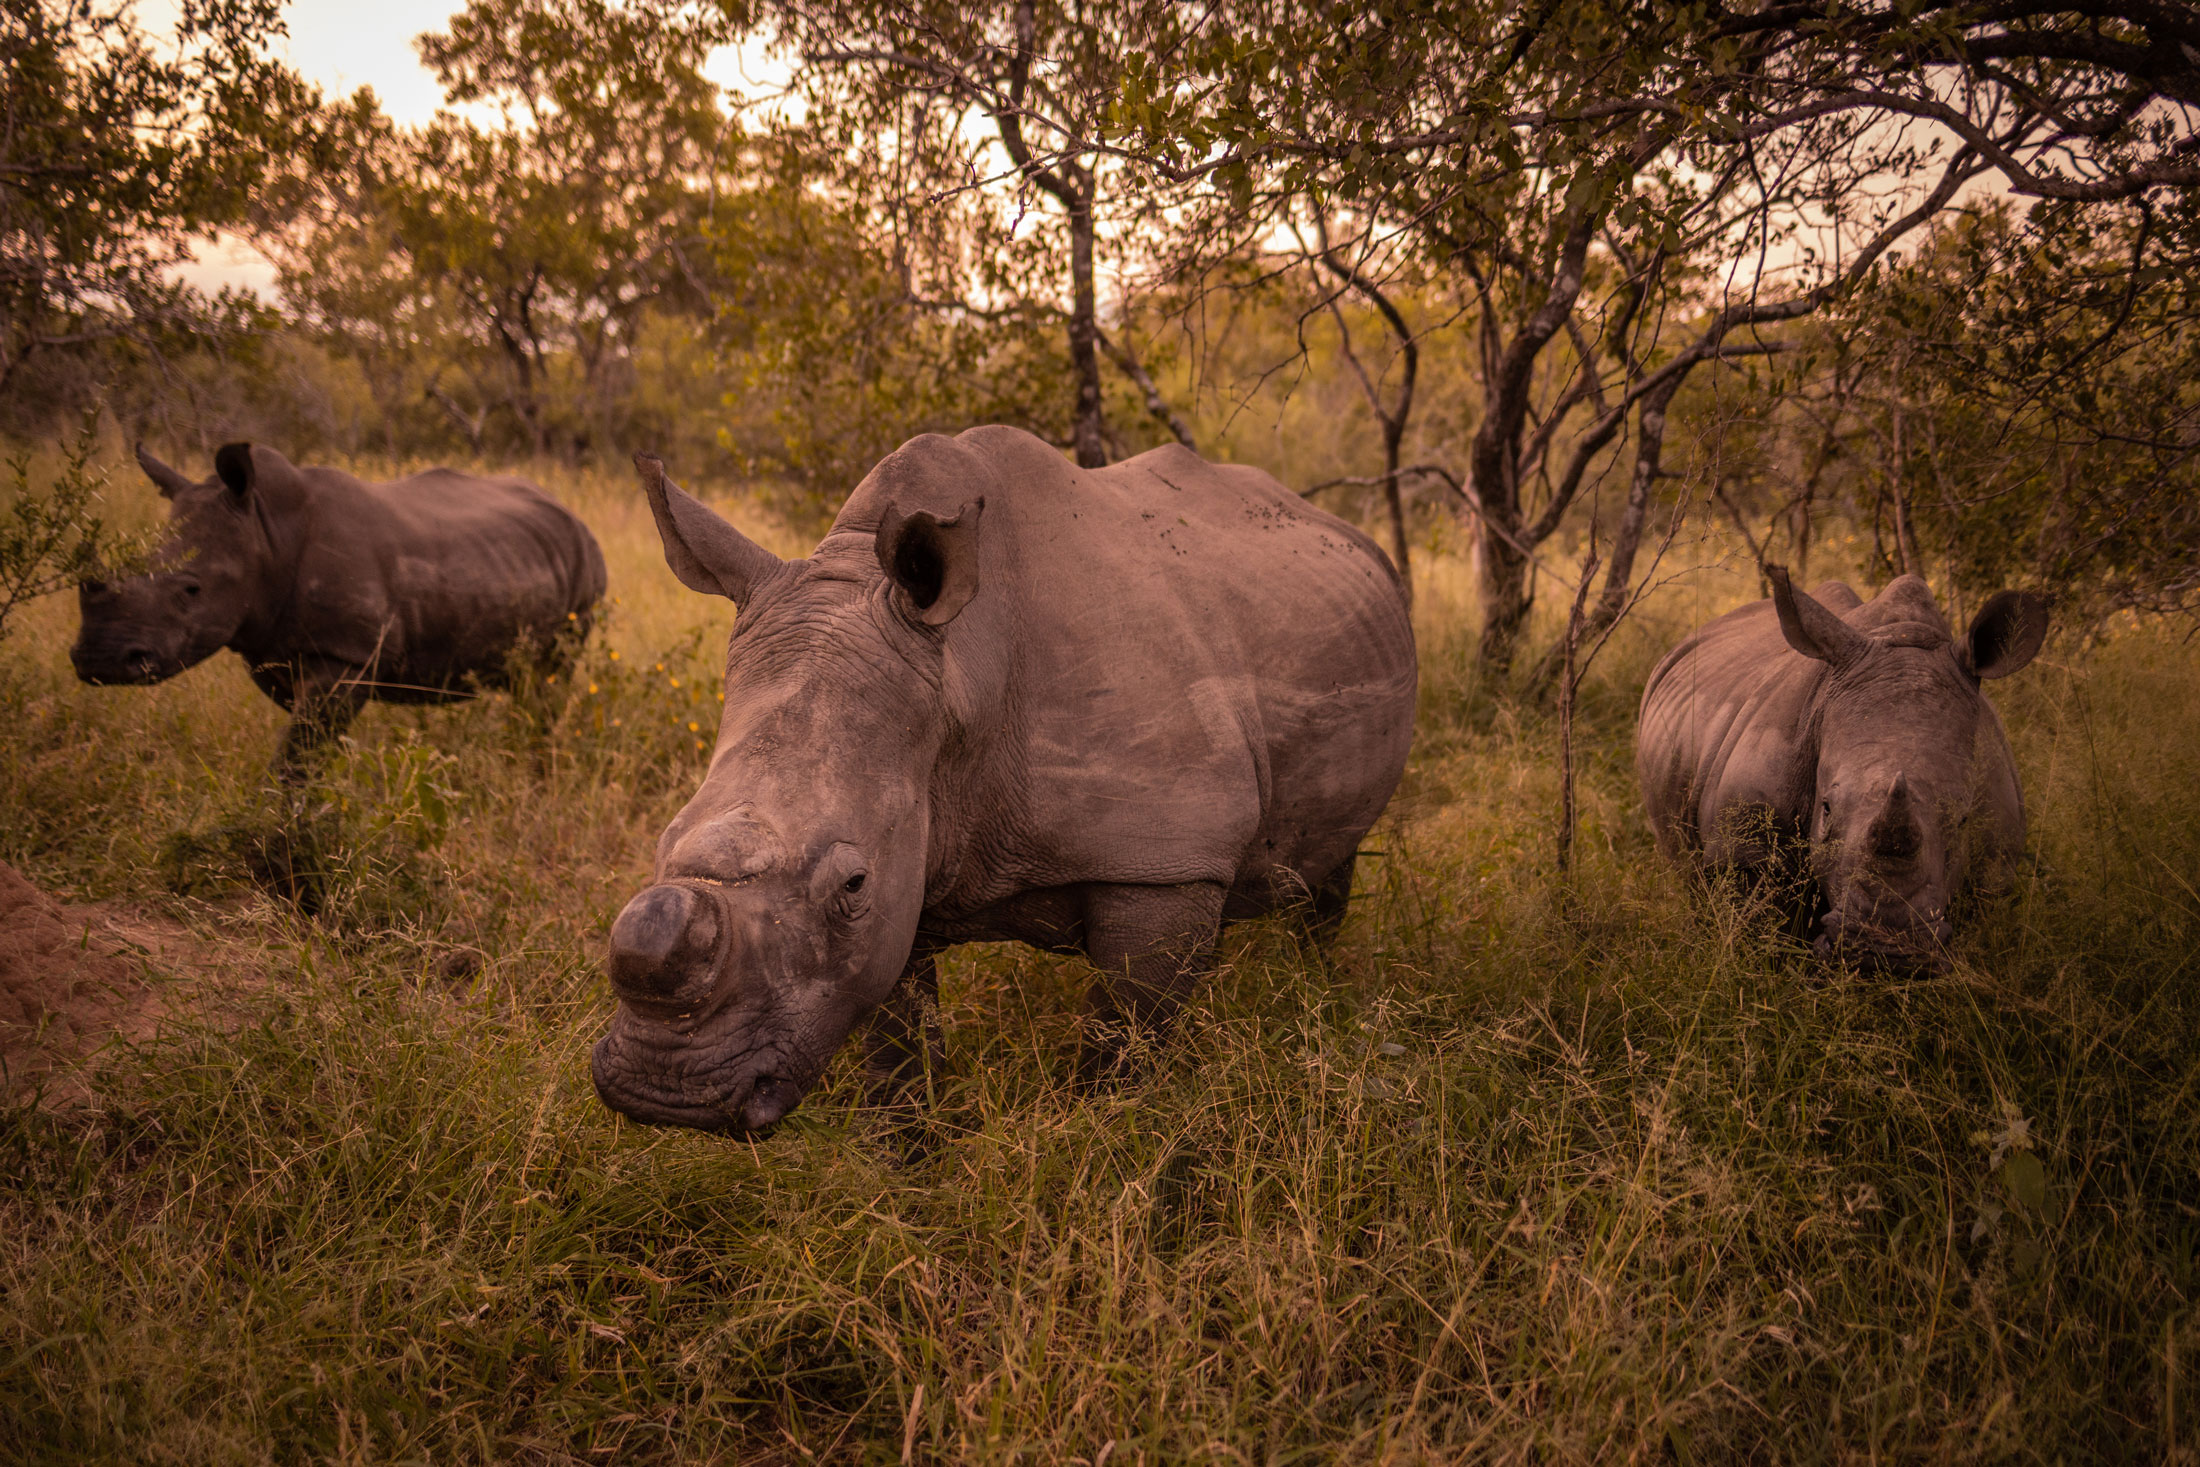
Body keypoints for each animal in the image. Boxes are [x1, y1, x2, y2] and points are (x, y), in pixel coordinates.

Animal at [74, 442, 607, 769]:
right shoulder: (273, 650)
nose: (98, 659)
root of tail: (575, 516)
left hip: (584, 577)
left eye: (191, 590)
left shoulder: (346, 653)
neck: (266, 530)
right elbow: (309, 740)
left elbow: (298, 752)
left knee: (547, 681)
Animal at [589, 424, 1408, 1134]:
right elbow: (900, 1055)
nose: (668, 1090)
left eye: (851, 884)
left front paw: (1110, 1146)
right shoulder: (907, 869)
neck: (965, 677)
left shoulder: (1161, 861)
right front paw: (907, 1166)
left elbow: (1123, 1052)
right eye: (661, 839)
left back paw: (1313, 995)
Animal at [1645, 567, 2050, 967]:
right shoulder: (1743, 848)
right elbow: (1754, 946)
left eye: (1964, 819)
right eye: (1825, 808)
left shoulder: (1994, 871)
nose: (1885, 953)